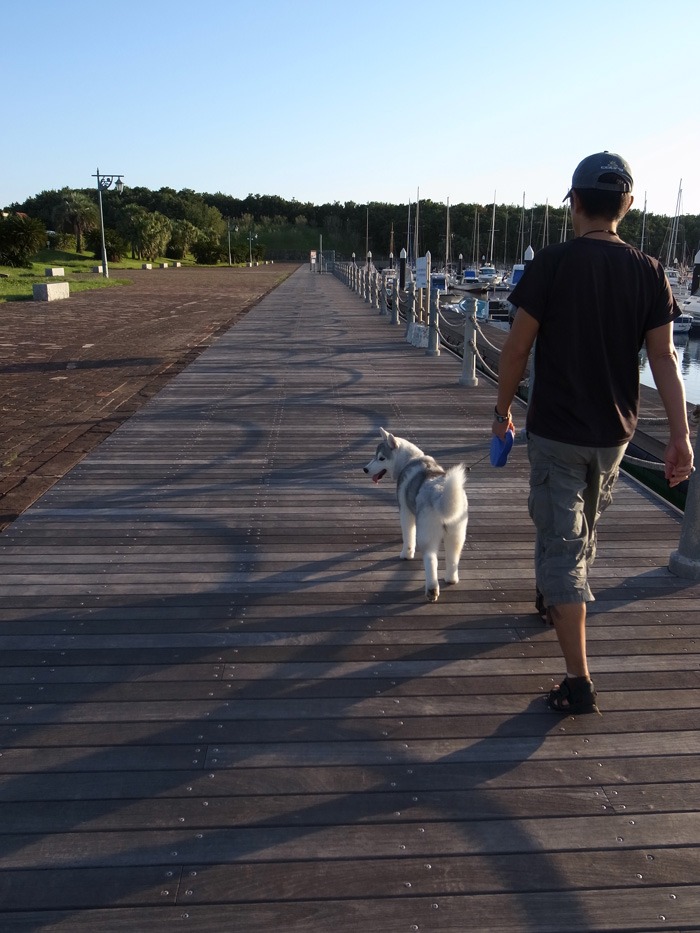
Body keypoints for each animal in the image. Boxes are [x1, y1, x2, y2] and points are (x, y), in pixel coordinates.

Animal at [364, 426, 468, 600]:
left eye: (381, 458)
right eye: (375, 456)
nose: (365, 469)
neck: (410, 460)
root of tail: (441, 493)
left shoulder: (405, 512)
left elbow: (408, 535)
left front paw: (406, 554)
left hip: (427, 535)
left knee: (431, 560)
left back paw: (432, 589)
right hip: (456, 534)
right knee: (453, 558)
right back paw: (451, 579)